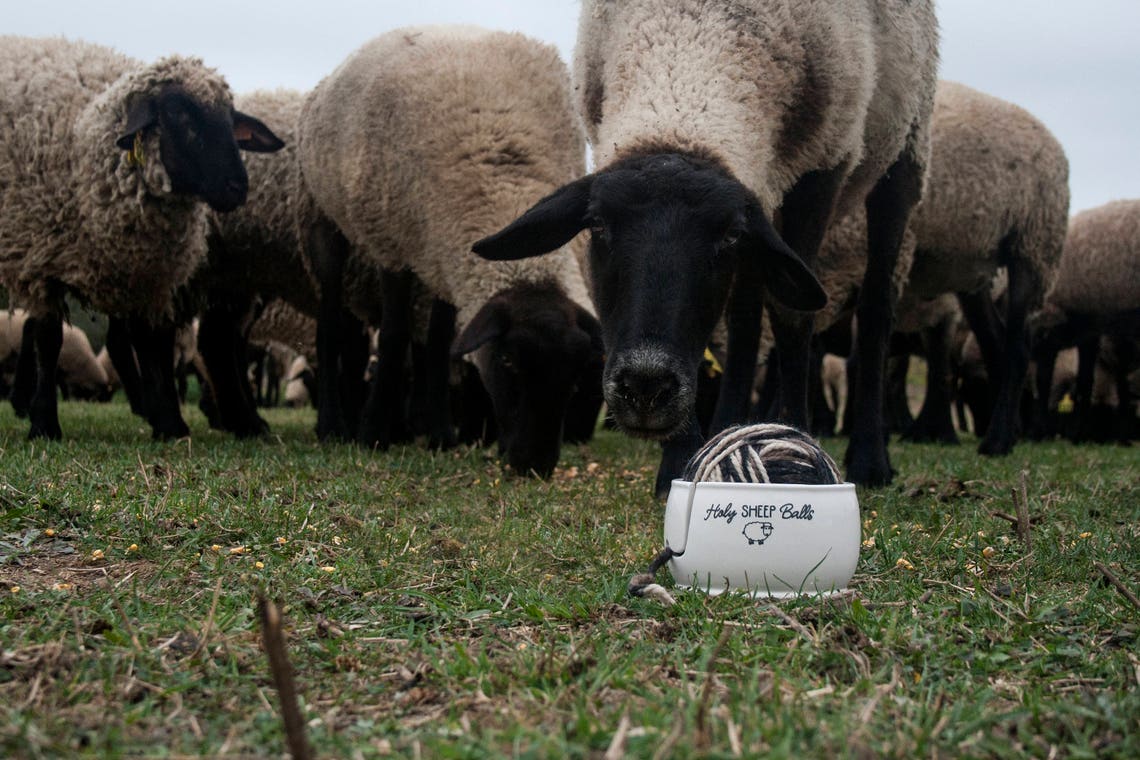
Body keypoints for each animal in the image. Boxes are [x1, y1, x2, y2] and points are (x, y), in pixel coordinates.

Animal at [0, 36, 283, 440]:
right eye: (180, 115)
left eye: (231, 121)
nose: (238, 187)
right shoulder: (39, 259)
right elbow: (48, 339)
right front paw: (44, 424)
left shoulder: (147, 271)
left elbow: (152, 342)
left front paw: (169, 423)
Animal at [296, 25, 604, 477]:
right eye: (507, 362)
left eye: (576, 376)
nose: (534, 465)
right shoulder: (392, 242)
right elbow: (394, 335)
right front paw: (373, 433)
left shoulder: (443, 253)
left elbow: (440, 341)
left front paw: (441, 434)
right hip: (323, 218)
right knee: (330, 325)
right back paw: (333, 425)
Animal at [473, 0, 939, 493]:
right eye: (597, 224)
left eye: (728, 234)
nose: (645, 387)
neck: (693, 36)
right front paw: (680, 462)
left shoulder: (822, 168)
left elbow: (793, 317)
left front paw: (799, 439)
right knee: (746, 321)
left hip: (903, 150)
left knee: (875, 307)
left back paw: (870, 459)